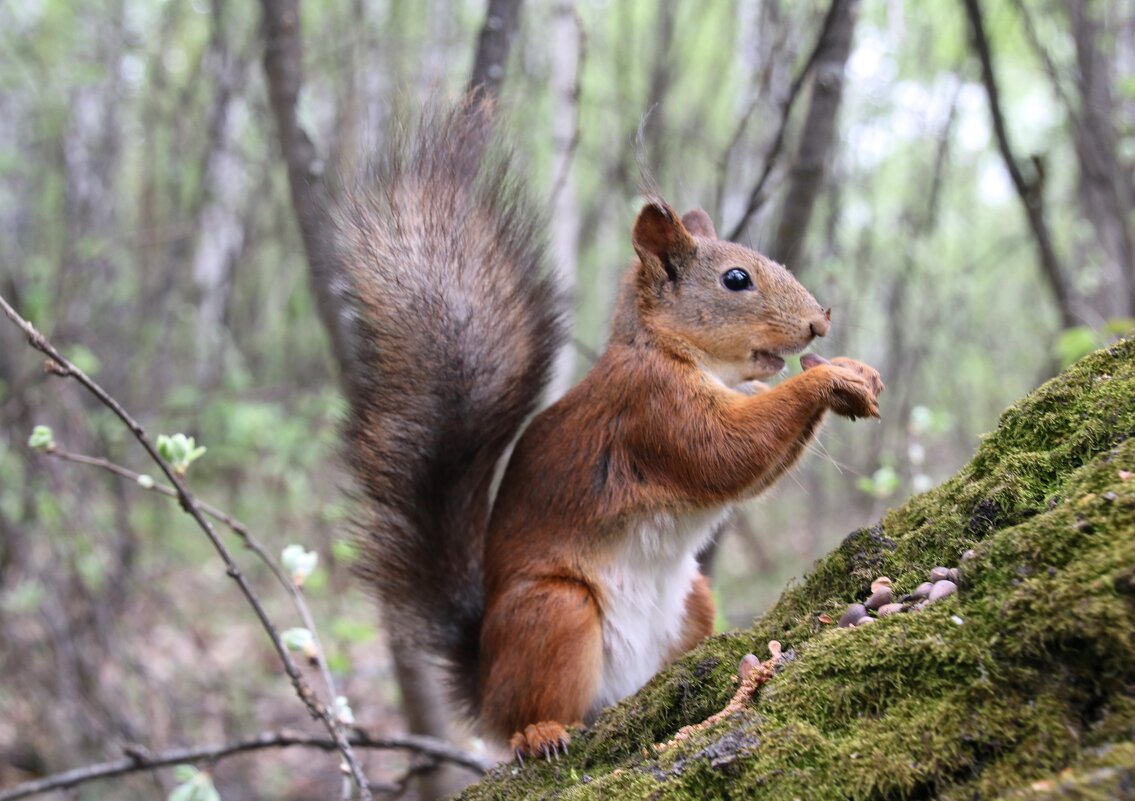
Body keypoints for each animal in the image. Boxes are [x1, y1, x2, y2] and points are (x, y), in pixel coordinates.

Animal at [331, 99, 880, 762]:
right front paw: (830, 379)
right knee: (525, 714)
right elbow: (724, 454)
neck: (678, 354)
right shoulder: (649, 409)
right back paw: (539, 732)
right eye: (736, 279)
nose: (819, 321)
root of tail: (484, 683)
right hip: (555, 610)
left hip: (693, 599)